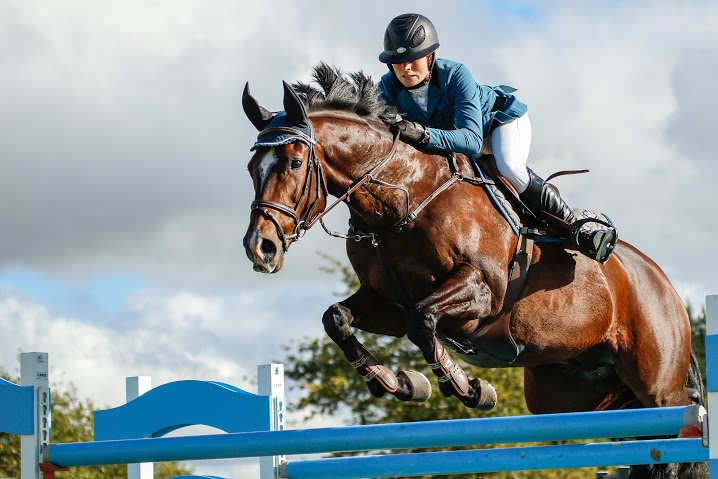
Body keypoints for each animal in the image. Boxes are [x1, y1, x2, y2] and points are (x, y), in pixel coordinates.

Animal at [243, 64, 708, 479]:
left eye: (294, 163)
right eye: (251, 169)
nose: (259, 248)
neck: (404, 200)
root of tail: (664, 284)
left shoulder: (482, 293)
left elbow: (423, 322)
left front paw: (462, 386)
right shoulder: (387, 304)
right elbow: (337, 318)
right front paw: (392, 381)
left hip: (657, 387)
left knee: (676, 430)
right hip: (570, 393)